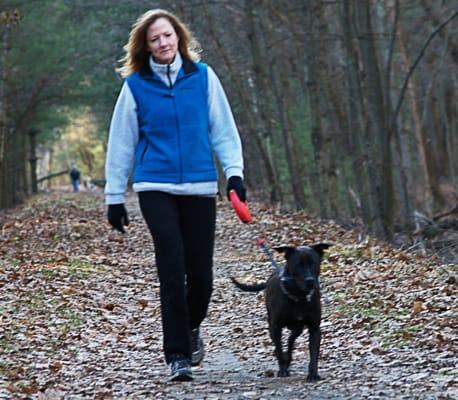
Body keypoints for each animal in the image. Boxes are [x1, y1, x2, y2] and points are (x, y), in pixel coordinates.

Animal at [231, 244, 330, 382]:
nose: (310, 280)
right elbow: (278, 347)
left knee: (290, 339)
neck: (299, 296)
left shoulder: (314, 328)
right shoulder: (276, 326)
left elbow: (314, 353)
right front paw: (282, 370)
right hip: (272, 324)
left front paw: (313, 374)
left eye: (314, 263)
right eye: (298, 265)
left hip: (298, 328)